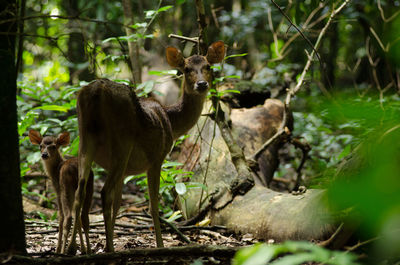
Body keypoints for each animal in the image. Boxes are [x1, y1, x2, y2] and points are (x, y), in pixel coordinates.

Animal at [68, 41, 225, 252]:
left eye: (208, 66)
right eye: (186, 69)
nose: (201, 84)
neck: (171, 121)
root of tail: (97, 91)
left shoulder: (125, 171)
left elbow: (118, 203)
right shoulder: (157, 157)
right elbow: (153, 205)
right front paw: (160, 244)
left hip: (85, 140)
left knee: (80, 192)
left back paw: (74, 248)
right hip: (122, 143)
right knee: (104, 192)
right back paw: (107, 248)